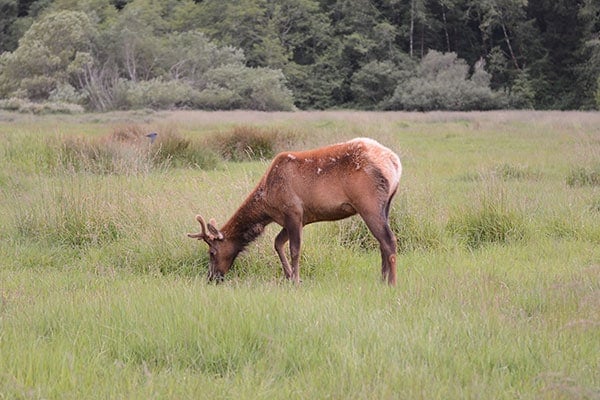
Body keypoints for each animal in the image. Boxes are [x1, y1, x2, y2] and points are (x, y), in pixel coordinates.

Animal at [188, 138, 404, 284]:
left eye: (212, 252)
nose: (211, 277)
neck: (267, 204)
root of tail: (395, 163)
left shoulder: (293, 211)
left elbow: (295, 249)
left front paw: (296, 280)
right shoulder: (295, 219)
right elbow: (277, 243)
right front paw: (289, 276)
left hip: (368, 204)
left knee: (389, 240)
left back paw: (391, 283)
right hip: (386, 205)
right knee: (382, 242)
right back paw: (382, 279)